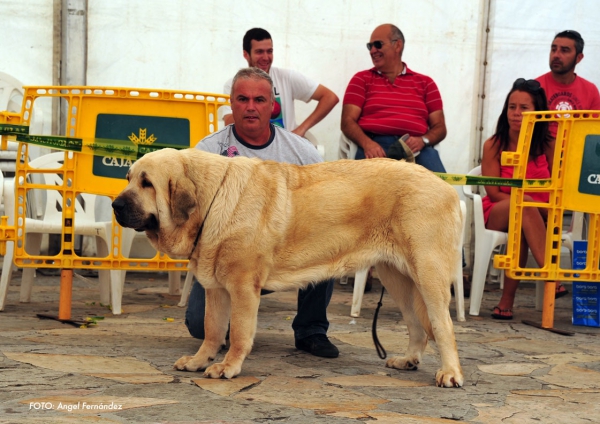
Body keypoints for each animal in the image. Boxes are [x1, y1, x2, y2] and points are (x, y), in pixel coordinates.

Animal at [113, 147, 468, 388]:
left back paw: (451, 373)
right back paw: (408, 360)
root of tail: (446, 187)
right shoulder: (216, 288)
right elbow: (213, 329)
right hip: (397, 279)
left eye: (147, 183)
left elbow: (238, 332)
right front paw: (200, 361)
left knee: (443, 326)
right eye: (128, 178)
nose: (115, 204)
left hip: (428, 274)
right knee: (417, 325)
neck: (212, 198)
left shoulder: (243, 287)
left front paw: (228, 367)